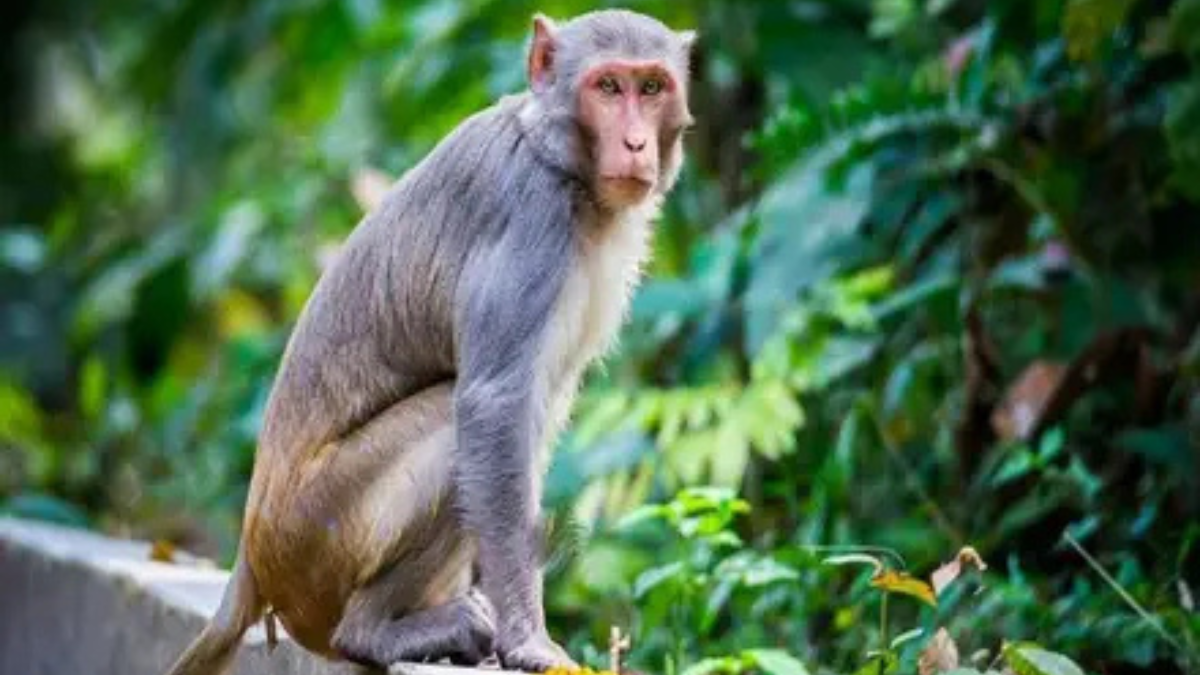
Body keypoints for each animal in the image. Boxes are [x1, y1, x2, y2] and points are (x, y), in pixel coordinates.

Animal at [163, 9, 695, 675]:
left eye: (651, 88)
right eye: (608, 87)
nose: (636, 144)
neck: (560, 164)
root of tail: (251, 558)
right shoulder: (532, 219)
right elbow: (495, 405)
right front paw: (528, 638)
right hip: (319, 536)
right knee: (452, 419)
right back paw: (373, 633)